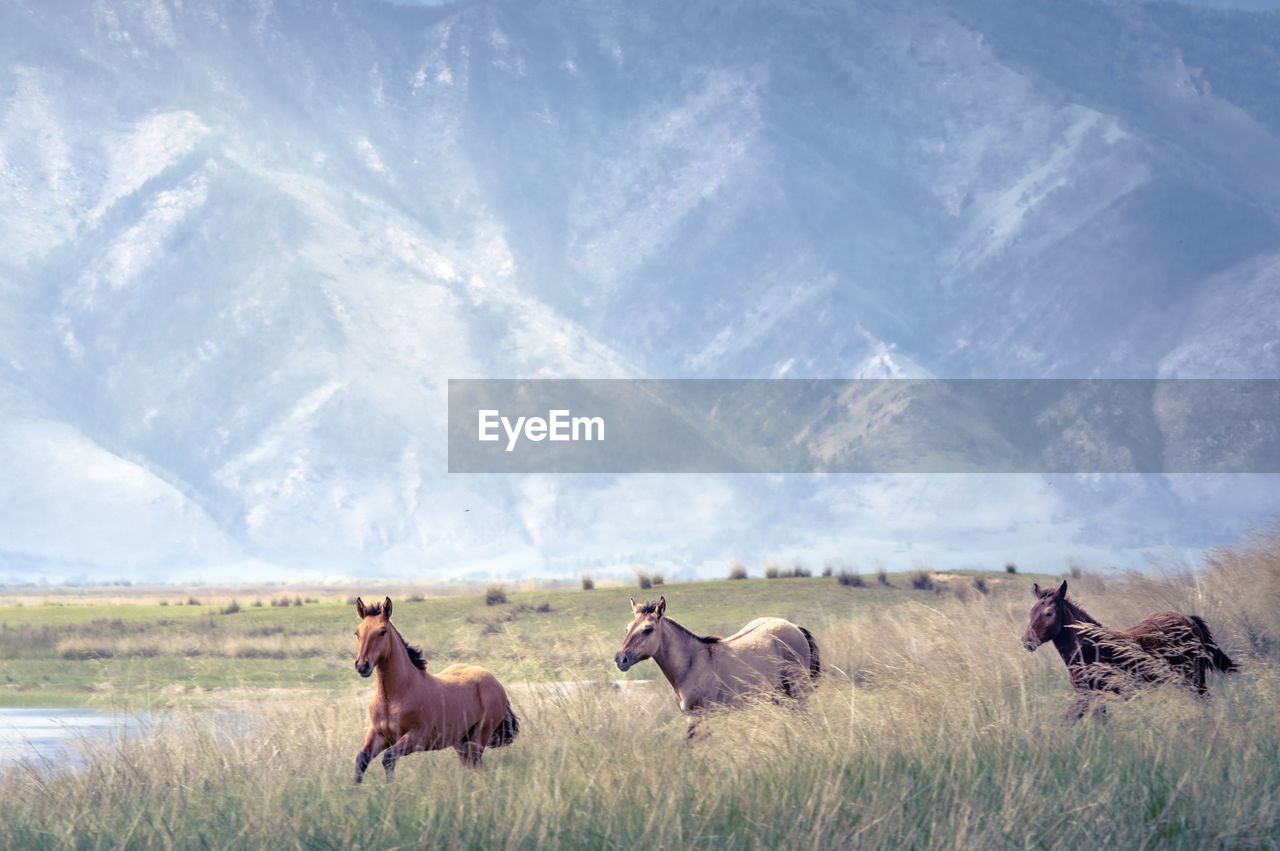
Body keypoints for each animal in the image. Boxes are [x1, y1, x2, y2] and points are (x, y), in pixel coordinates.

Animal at [353, 593, 517, 778]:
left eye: (382, 631)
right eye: (357, 632)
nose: (362, 666)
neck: (394, 695)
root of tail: (496, 682)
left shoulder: (416, 737)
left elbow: (388, 758)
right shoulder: (379, 735)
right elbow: (361, 760)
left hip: (478, 738)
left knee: (476, 767)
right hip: (461, 742)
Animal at [611, 591, 819, 737]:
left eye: (648, 629)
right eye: (628, 629)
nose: (620, 659)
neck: (691, 663)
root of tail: (796, 628)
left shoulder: (699, 716)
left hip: (798, 693)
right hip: (782, 697)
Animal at [1013, 578, 1233, 716]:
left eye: (1049, 613)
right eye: (1031, 612)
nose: (1027, 641)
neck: (1089, 649)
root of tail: (1189, 620)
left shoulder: (1087, 697)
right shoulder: (1093, 698)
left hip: (1196, 680)